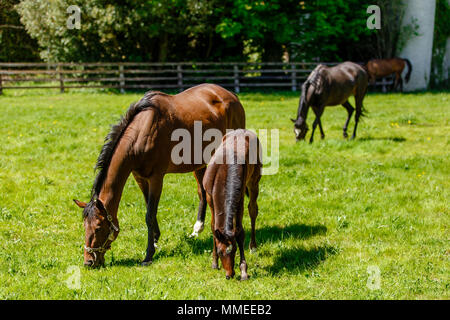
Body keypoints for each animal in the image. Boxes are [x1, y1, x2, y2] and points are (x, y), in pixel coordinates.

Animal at [73, 83, 246, 268]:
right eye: (84, 226)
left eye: (98, 227)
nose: (89, 261)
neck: (142, 133)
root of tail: (230, 95)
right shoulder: (140, 178)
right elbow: (150, 209)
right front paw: (155, 239)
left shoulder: (156, 178)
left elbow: (149, 215)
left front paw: (149, 254)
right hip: (200, 163)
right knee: (202, 192)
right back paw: (197, 229)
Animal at [203, 129, 262, 280]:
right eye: (220, 252)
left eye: (234, 249)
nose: (230, 274)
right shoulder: (209, 196)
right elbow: (213, 227)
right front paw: (214, 262)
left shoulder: (239, 198)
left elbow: (240, 232)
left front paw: (244, 271)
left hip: (254, 181)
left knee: (253, 210)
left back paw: (253, 246)